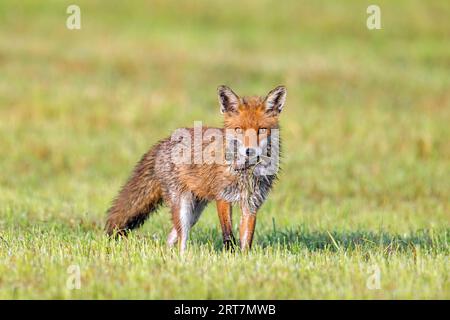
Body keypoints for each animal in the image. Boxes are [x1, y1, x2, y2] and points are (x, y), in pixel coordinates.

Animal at [106, 85, 284, 252]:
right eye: (239, 129)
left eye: (261, 130)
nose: (249, 151)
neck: (245, 173)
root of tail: (163, 142)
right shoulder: (222, 198)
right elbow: (228, 235)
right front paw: (229, 255)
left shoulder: (252, 204)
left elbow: (246, 241)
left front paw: (243, 259)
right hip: (183, 208)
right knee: (181, 239)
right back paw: (182, 259)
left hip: (194, 213)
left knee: (170, 238)